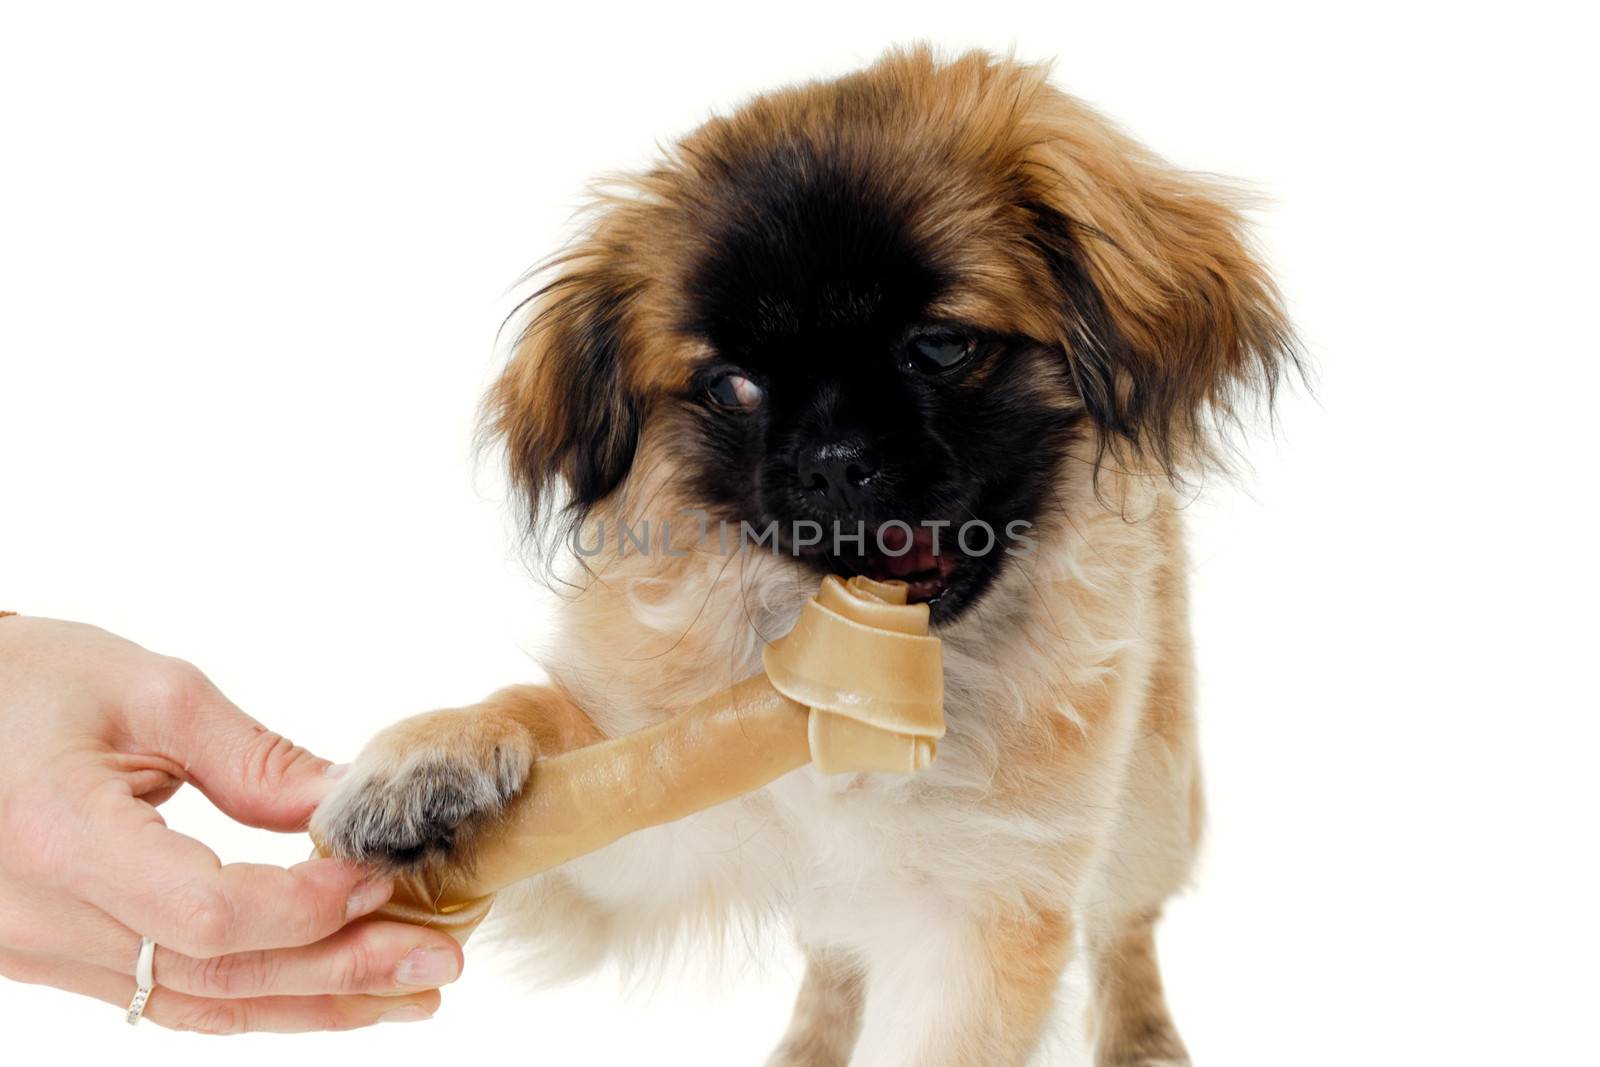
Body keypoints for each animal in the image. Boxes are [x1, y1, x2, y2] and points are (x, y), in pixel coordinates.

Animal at [315, 45, 1299, 1062]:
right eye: (732, 386)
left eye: (938, 347)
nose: (831, 459)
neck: (866, 696)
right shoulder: (656, 833)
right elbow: (550, 723)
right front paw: (428, 762)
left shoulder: (984, 913)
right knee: (834, 952)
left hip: (1153, 791)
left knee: (1126, 919)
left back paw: (1142, 1034)